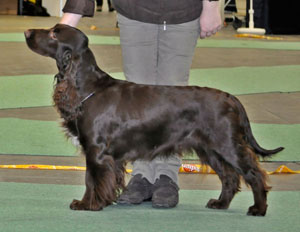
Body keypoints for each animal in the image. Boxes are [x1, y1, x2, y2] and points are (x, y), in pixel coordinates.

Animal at [24, 24, 284, 216]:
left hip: (227, 144)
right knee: (229, 177)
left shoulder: (96, 152)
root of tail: (231, 98)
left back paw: (258, 209)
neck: (88, 88)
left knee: (253, 174)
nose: (26, 32)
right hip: (210, 149)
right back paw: (220, 204)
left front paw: (87, 205)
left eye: (54, 33)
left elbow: (91, 180)